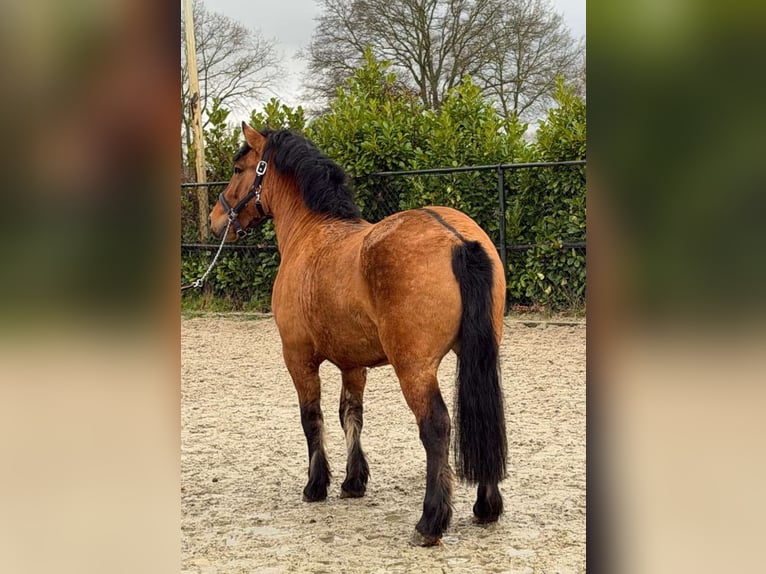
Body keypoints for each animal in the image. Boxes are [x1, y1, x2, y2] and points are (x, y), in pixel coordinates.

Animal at [208, 123, 508, 546]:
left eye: (238, 169)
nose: (217, 219)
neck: (311, 233)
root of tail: (457, 240)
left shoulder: (298, 357)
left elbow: (311, 417)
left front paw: (316, 486)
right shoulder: (353, 364)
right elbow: (350, 414)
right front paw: (353, 482)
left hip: (414, 368)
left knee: (436, 428)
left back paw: (430, 522)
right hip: (478, 356)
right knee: (482, 416)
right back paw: (486, 506)